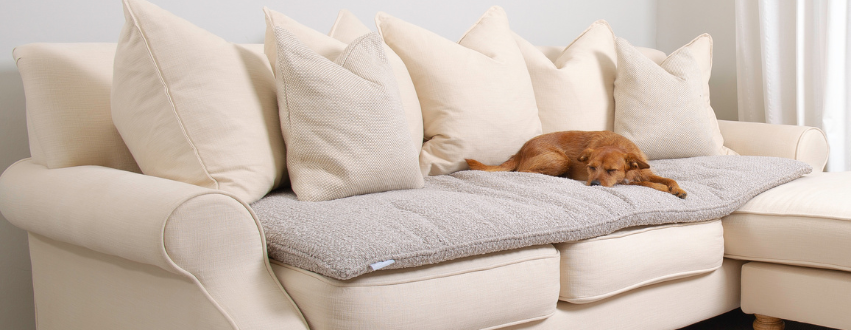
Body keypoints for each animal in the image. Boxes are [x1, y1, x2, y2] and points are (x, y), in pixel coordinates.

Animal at [462, 131, 688, 199]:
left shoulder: (643, 173)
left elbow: (669, 179)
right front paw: (665, 190)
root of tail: (521, 149)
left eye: (611, 170)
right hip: (560, 159)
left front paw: (677, 189)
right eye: (590, 167)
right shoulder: (632, 181)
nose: (594, 184)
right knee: (523, 171)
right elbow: (652, 184)